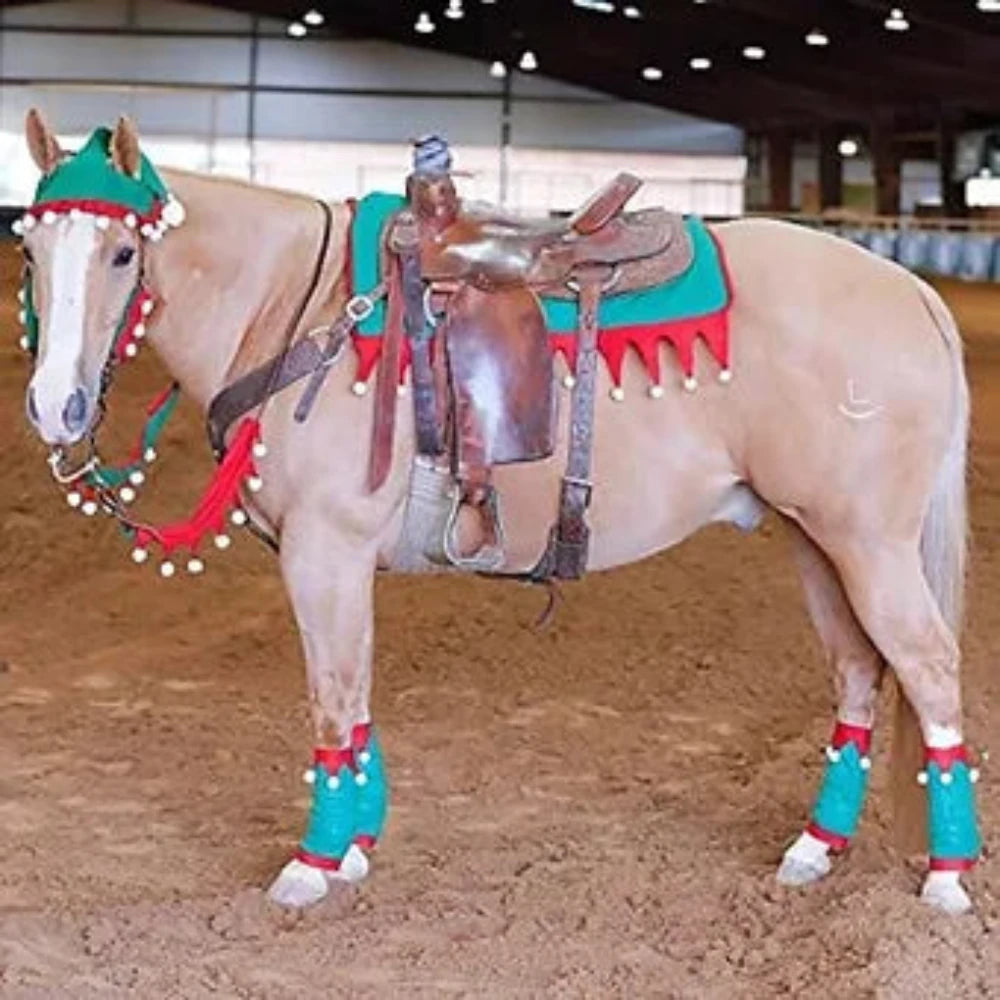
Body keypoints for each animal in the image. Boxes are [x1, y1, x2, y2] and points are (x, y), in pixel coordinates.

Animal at [18, 110, 980, 915]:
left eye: (122, 255)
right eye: (29, 249)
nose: (56, 408)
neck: (304, 307)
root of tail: (912, 290)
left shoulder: (324, 553)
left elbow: (332, 699)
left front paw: (314, 864)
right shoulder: (337, 564)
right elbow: (356, 699)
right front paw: (357, 848)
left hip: (870, 545)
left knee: (930, 670)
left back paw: (947, 879)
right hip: (815, 537)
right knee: (857, 671)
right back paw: (816, 848)